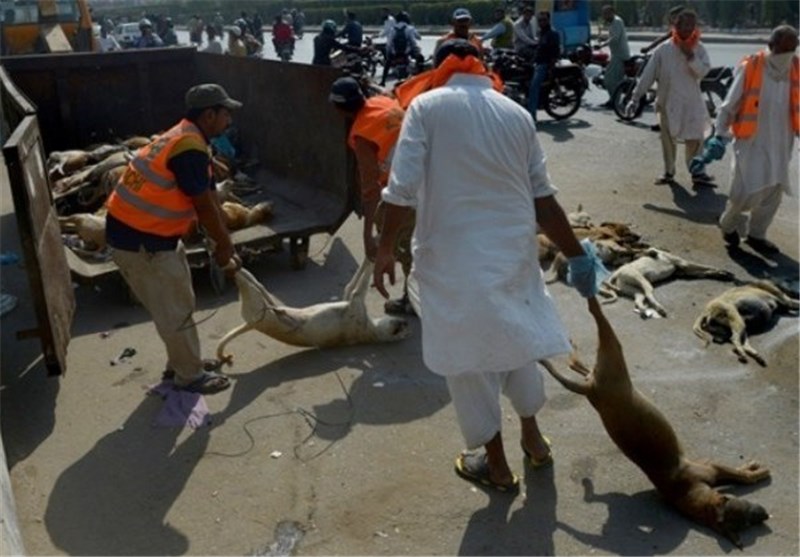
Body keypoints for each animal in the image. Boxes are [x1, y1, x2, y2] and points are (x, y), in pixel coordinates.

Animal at [216, 260, 410, 364]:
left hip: (255, 306)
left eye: (401, 330)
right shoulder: (352, 301)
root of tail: (251, 324)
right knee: (252, 280)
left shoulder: (356, 306)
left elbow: (357, 288)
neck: (372, 331)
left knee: (246, 281)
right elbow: (351, 286)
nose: (406, 323)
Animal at [540, 298, 771, 548]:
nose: (764, 515)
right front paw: (757, 472)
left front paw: (749, 466)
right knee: (598, 320)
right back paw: (590, 301)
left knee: (578, 365)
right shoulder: (710, 468)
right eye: (746, 517)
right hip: (614, 359)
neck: (685, 494)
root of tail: (591, 390)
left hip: (600, 374)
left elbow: (736, 472)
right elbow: (741, 476)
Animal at [600, 248, 735, 318]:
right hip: (641, 279)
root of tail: (617, 272)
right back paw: (659, 308)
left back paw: (645, 310)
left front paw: (723, 274)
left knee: (639, 300)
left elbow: (705, 271)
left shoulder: (685, 270)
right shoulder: (684, 264)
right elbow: (705, 266)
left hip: (632, 288)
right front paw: (723, 272)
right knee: (649, 294)